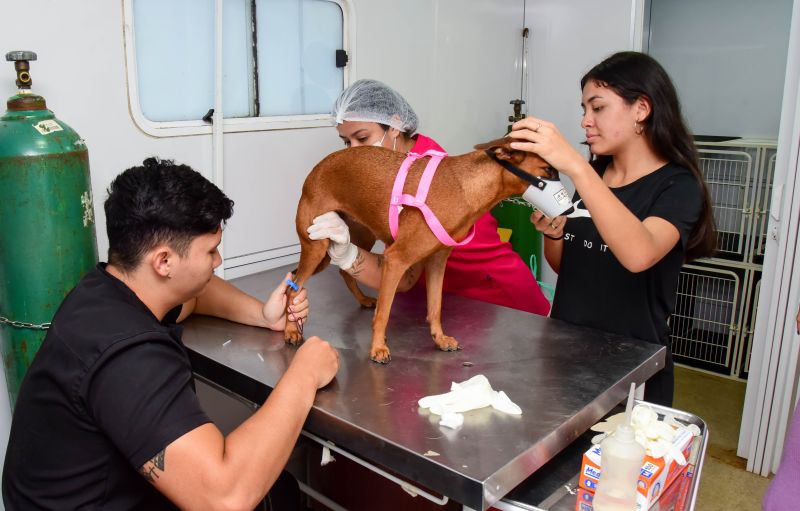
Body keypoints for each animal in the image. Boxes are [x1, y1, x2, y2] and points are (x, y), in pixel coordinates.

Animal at [284, 139, 552, 364]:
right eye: (548, 170)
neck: (465, 187)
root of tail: (314, 171)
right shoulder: (396, 260)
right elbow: (384, 313)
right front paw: (378, 347)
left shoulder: (436, 262)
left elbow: (435, 307)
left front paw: (440, 338)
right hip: (316, 247)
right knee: (292, 286)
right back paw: (290, 330)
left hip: (357, 238)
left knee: (342, 271)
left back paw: (362, 299)